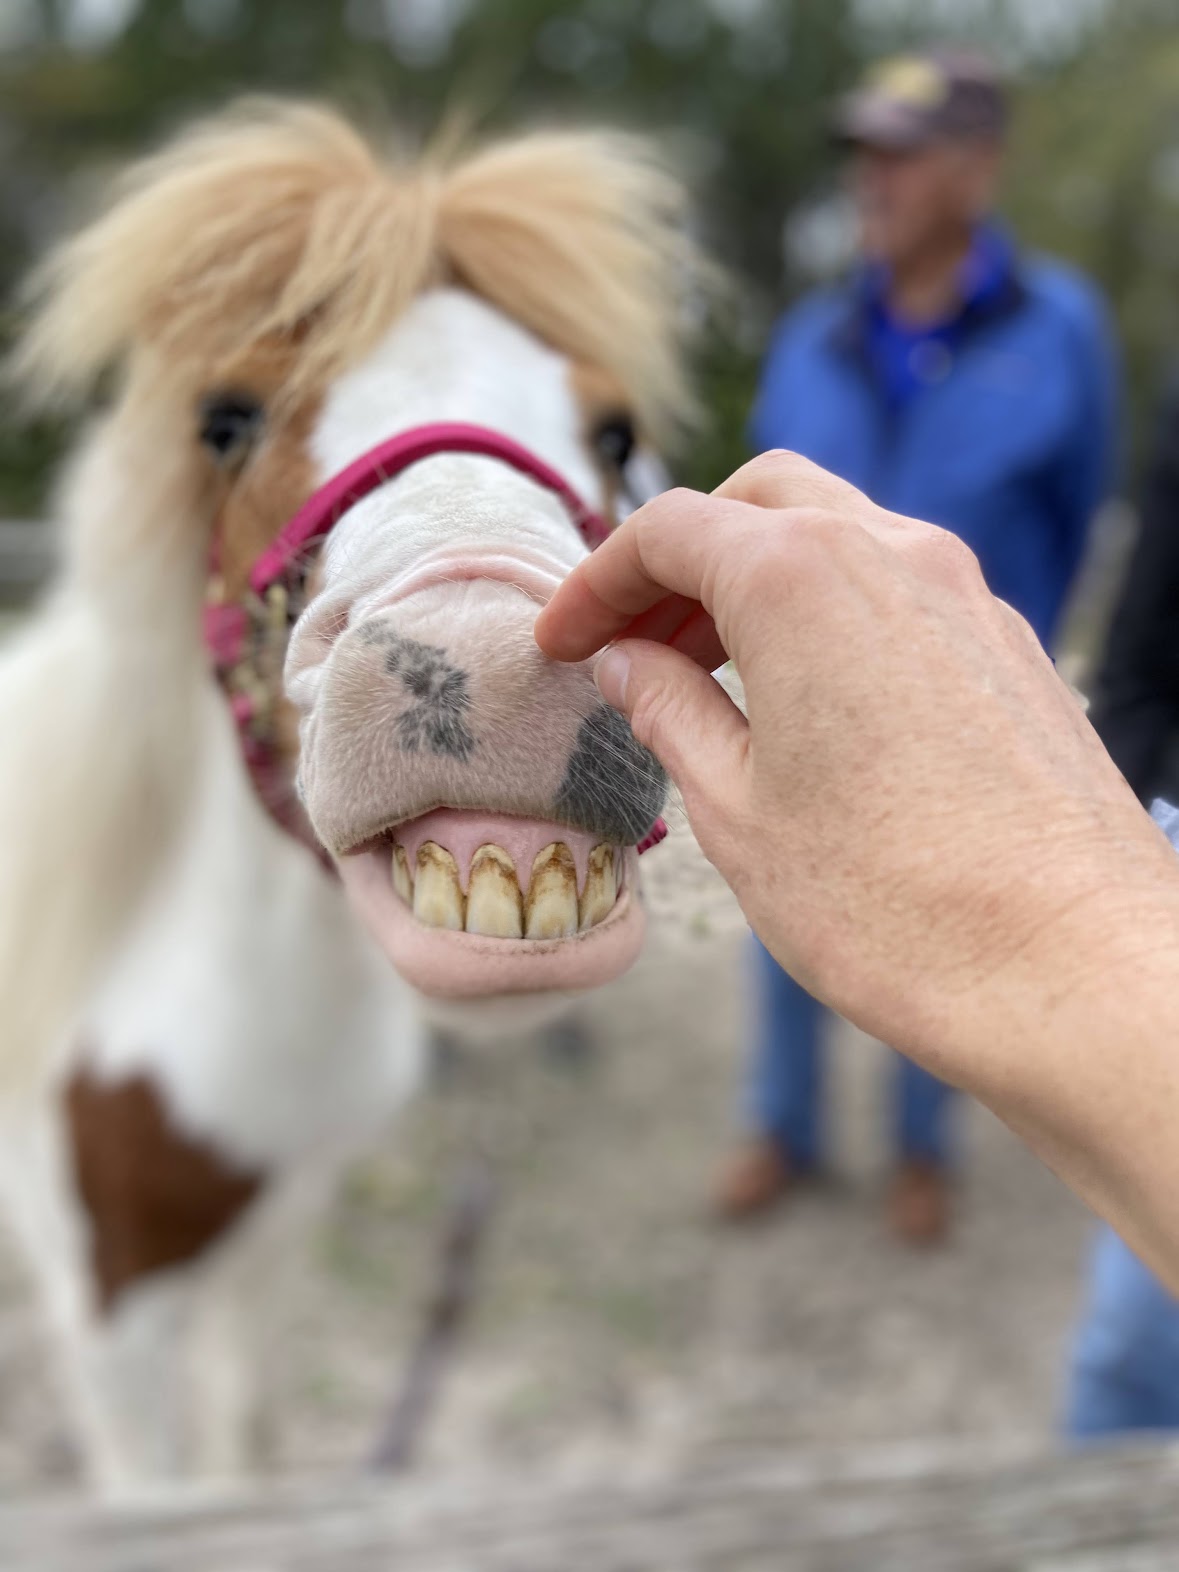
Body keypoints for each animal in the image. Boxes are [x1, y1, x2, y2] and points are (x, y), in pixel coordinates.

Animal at [0, 98, 695, 1489]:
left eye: (611, 431)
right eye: (224, 420)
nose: (488, 664)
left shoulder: (279, 1221)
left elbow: (248, 1433)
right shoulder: (105, 1320)